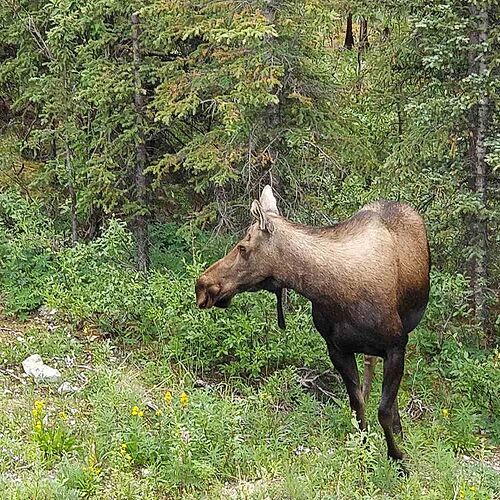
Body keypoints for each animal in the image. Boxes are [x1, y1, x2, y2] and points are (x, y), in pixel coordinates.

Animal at [195, 186, 430, 462]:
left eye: (243, 247)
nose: (202, 285)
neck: (332, 292)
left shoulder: (396, 344)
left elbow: (382, 409)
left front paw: (397, 456)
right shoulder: (337, 350)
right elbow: (357, 406)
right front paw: (364, 450)